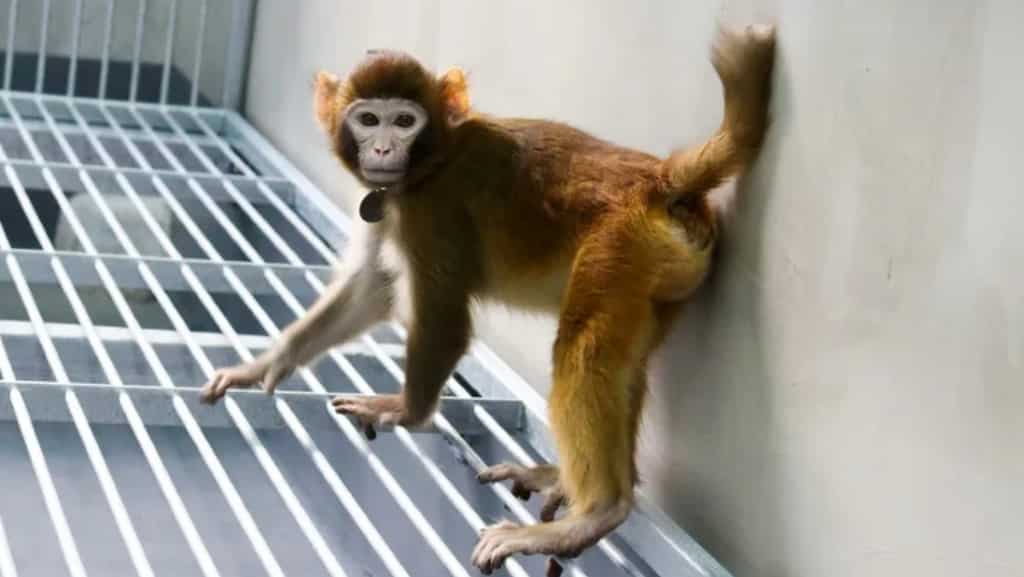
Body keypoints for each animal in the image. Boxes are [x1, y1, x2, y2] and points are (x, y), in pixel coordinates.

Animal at [199, 23, 776, 574]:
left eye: (403, 121)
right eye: (367, 119)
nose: (382, 150)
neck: (434, 159)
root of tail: (658, 180)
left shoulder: (433, 210)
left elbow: (444, 321)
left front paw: (407, 411)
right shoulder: (392, 204)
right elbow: (370, 289)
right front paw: (265, 364)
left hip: (620, 247)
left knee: (584, 351)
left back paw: (595, 512)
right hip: (660, 273)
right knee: (621, 362)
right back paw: (579, 482)